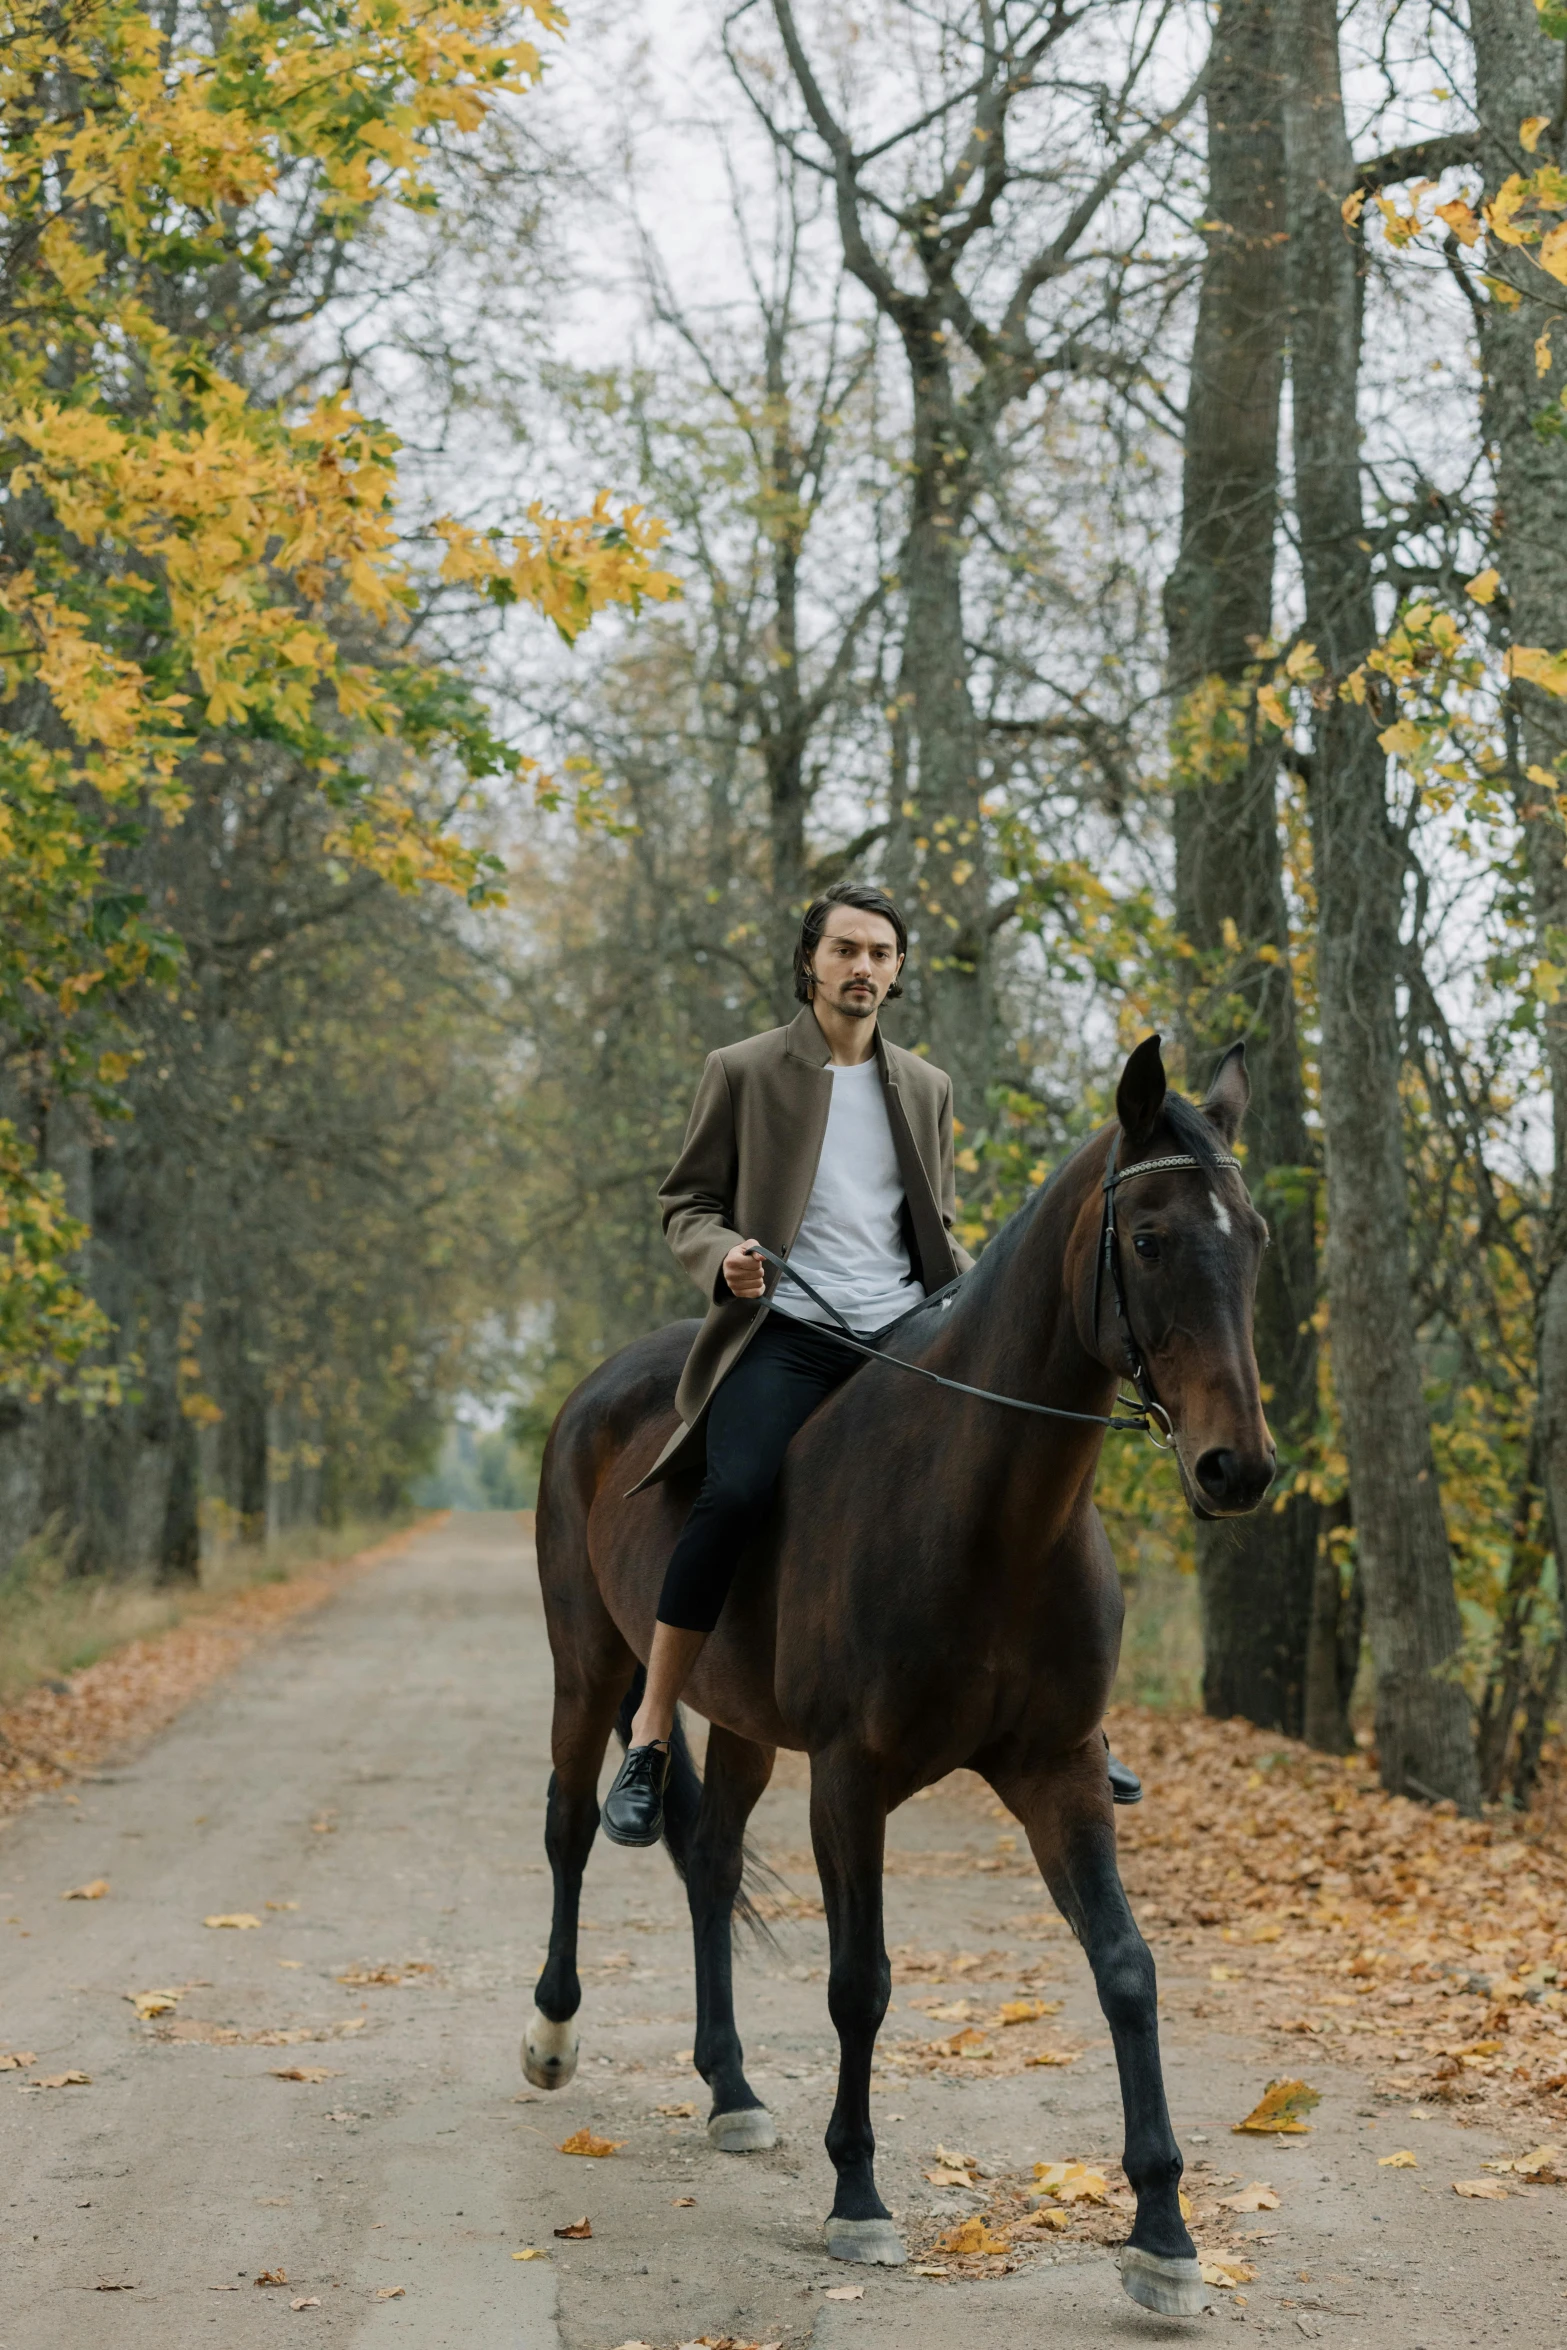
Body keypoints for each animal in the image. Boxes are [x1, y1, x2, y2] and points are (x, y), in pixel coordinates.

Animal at [526, 1043, 1278, 2312]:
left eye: (1257, 1235)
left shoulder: (1057, 1768)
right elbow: (859, 1981)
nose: (1237, 1468)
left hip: (742, 1723)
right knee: (574, 1826)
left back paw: (732, 2091)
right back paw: (552, 2032)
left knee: (708, 1858)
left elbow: (1125, 1967)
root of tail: (603, 1387)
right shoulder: (850, 1777)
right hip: (588, 1666)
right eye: (1149, 1239)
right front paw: (859, 2198)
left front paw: (1164, 2234)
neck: (987, 1516)